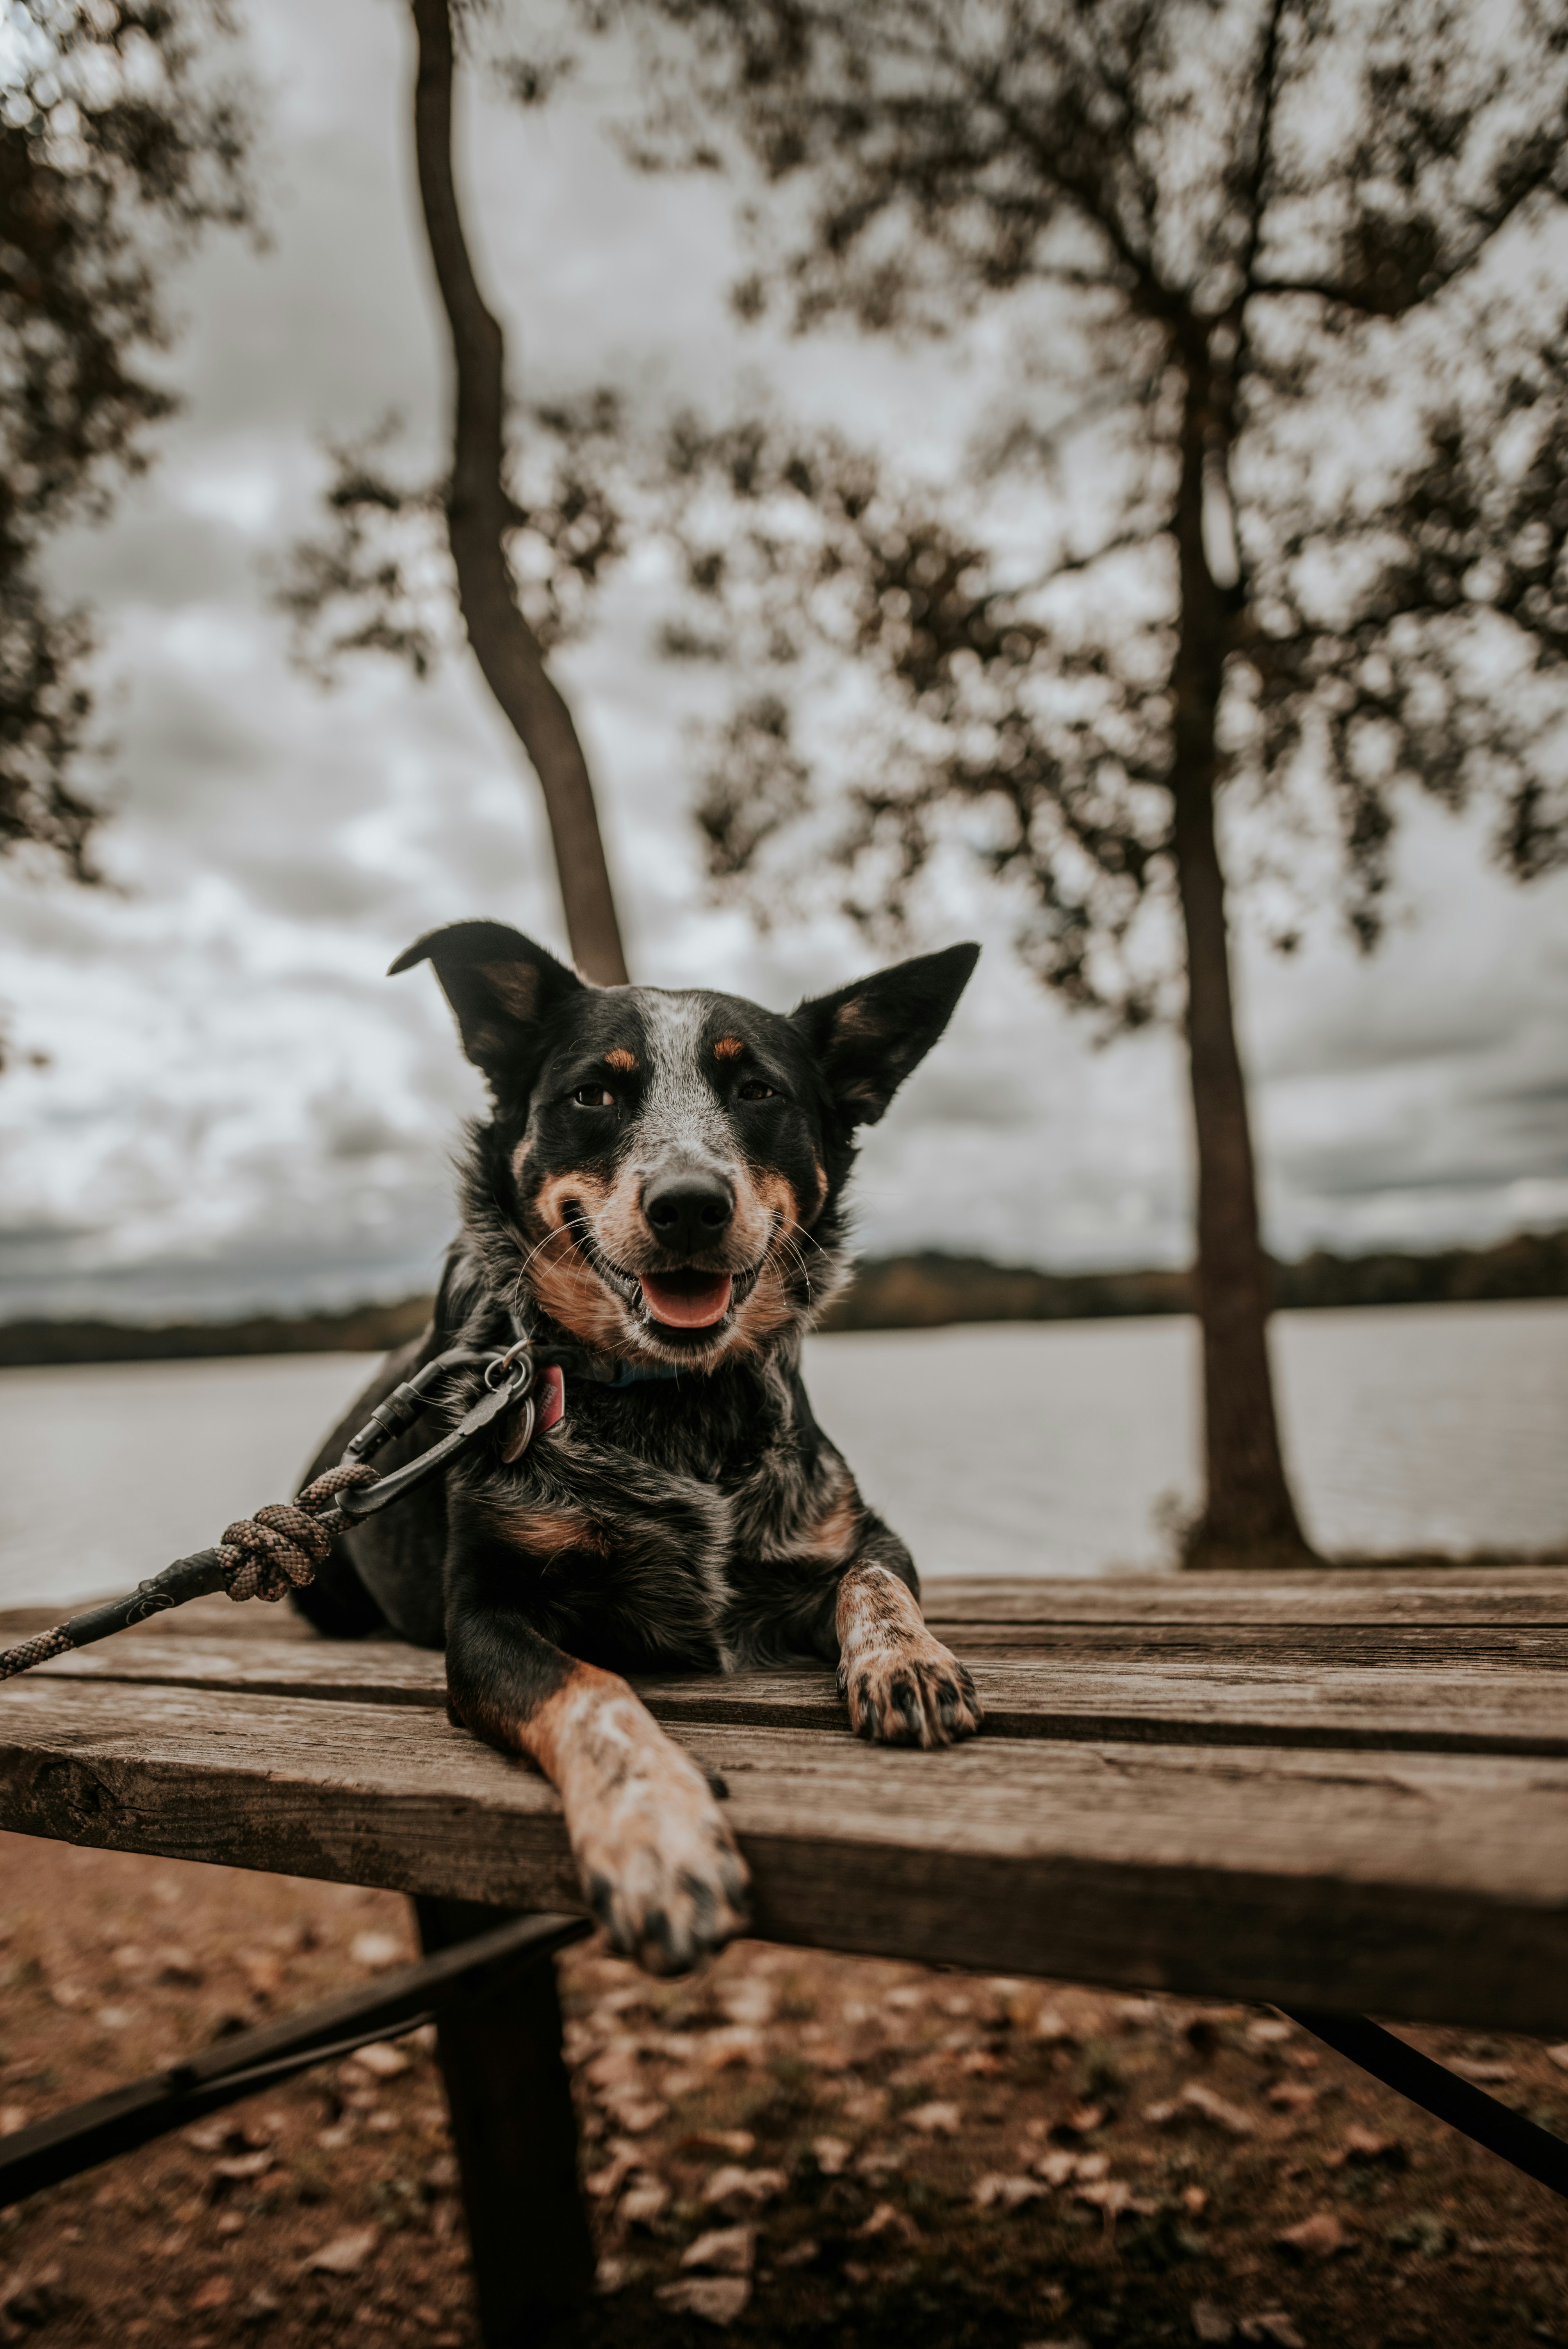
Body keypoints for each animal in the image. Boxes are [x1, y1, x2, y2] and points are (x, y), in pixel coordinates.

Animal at [297, 916, 981, 1964]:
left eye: (757, 1090)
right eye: (594, 1092)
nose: (689, 1203)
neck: (669, 1404)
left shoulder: (852, 1530)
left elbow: (874, 1582)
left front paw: (905, 1661)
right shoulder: (485, 1615)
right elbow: (592, 1690)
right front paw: (659, 1834)